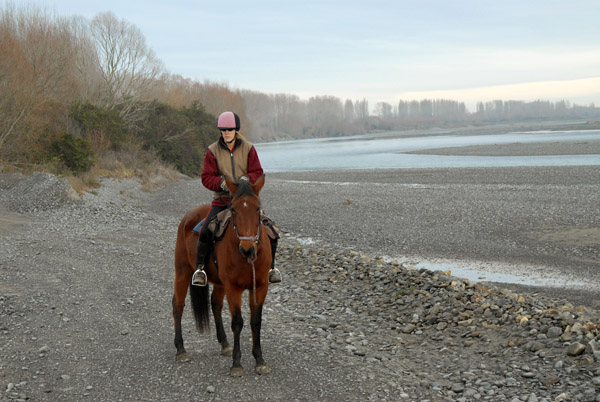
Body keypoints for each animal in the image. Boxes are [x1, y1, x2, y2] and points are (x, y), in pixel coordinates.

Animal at [172, 175, 274, 376]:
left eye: (257, 207)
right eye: (233, 209)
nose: (247, 248)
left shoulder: (260, 286)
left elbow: (256, 321)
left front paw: (259, 360)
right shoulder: (233, 287)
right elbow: (237, 322)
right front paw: (237, 364)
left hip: (219, 283)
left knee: (215, 304)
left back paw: (225, 343)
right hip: (182, 271)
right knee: (178, 305)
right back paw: (181, 349)